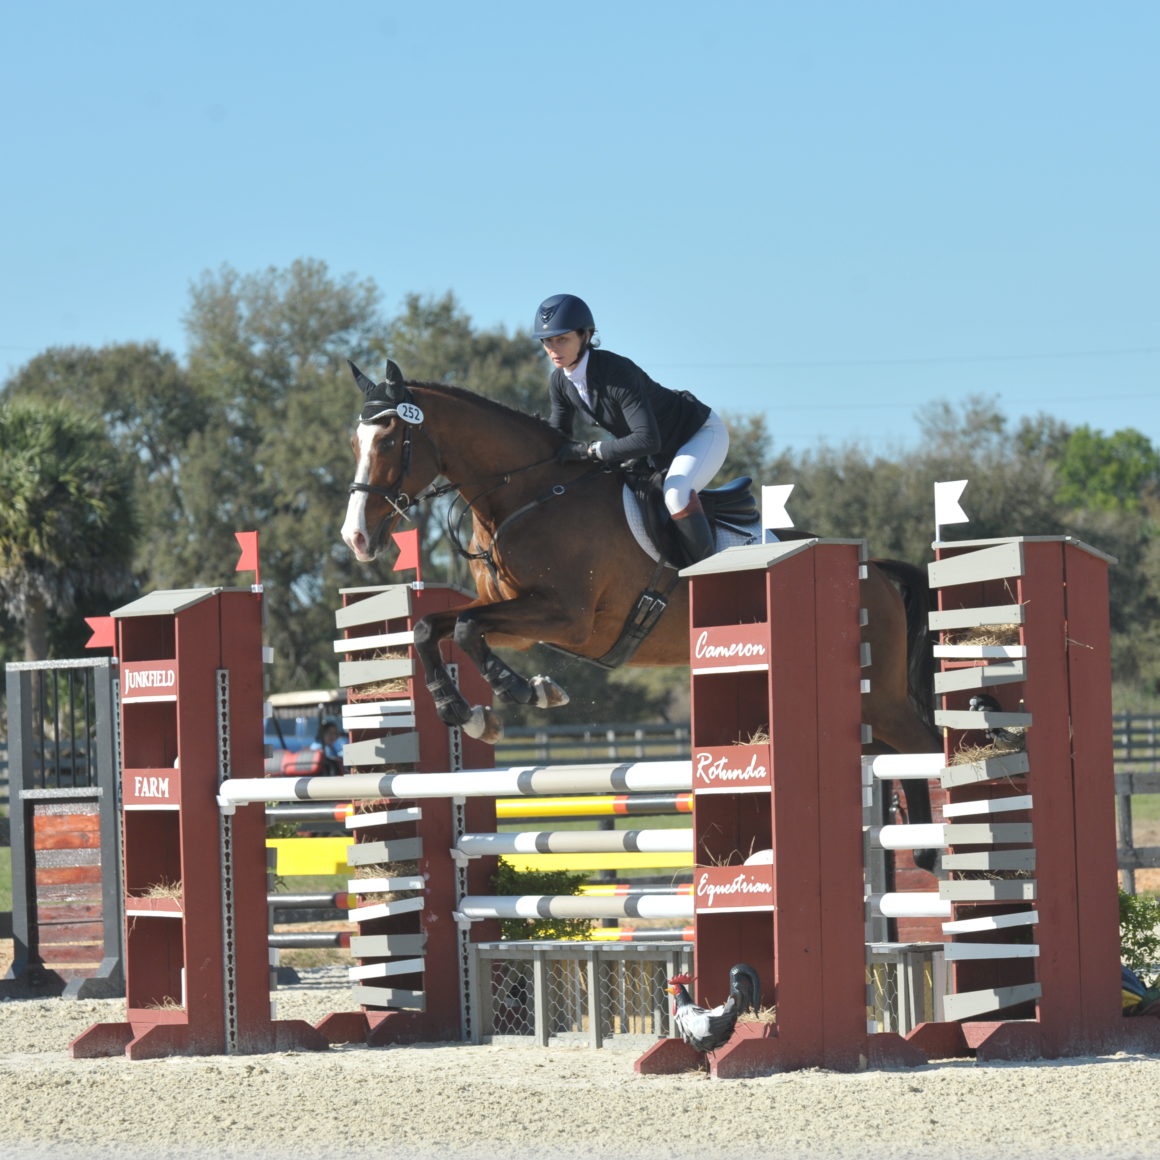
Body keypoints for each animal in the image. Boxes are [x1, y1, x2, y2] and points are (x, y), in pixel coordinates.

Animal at [340, 361, 941, 860]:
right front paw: (467, 712)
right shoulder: (515, 618)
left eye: (390, 438)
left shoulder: (569, 619)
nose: (357, 539)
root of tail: (871, 569)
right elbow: (432, 626)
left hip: (882, 698)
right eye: (355, 440)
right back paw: (925, 852)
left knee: (928, 746)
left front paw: (522, 692)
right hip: (866, 708)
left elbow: (465, 628)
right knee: (901, 757)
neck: (528, 495)